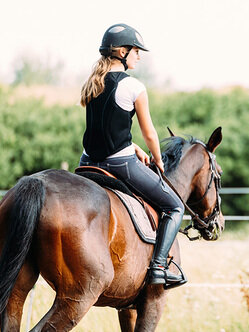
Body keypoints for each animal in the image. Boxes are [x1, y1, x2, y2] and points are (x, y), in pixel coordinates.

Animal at [0, 126, 225, 330]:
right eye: (219, 175)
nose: (219, 224)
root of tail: (38, 182)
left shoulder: (126, 307)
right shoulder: (154, 301)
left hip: (17, 289)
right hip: (79, 296)